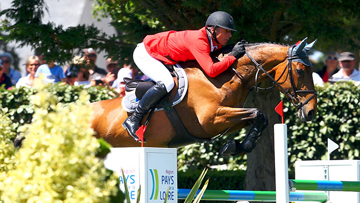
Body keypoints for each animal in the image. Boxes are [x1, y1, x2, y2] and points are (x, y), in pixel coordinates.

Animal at [90, 37, 318, 155]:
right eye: (300, 71)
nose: (311, 112)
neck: (221, 78)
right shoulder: (211, 119)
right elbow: (258, 113)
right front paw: (236, 147)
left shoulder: (224, 119)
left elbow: (259, 118)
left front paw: (235, 147)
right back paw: (132, 125)